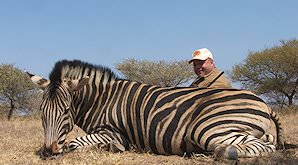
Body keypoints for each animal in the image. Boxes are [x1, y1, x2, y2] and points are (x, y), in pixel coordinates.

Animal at [28, 59, 284, 160]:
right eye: (42, 112)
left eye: (65, 111)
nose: (48, 151)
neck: (102, 99)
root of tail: (263, 102)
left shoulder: (114, 133)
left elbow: (73, 143)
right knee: (268, 140)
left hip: (207, 128)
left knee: (263, 146)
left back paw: (223, 152)